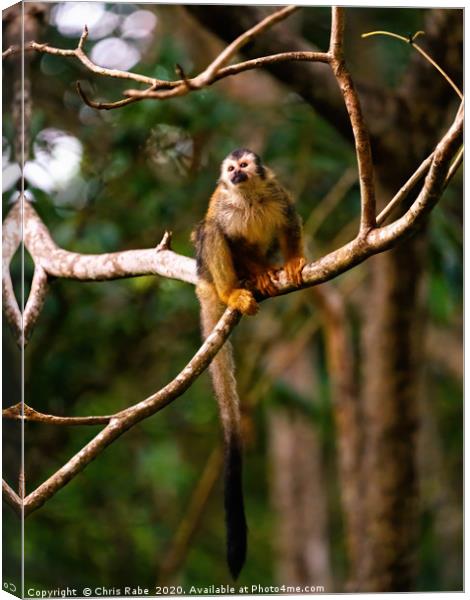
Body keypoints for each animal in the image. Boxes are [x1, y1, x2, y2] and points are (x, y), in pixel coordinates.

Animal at [191, 149, 304, 576]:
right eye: (230, 170)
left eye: (244, 167)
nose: (236, 174)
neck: (250, 198)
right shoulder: (226, 209)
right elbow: (223, 236)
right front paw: (255, 275)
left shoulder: (278, 194)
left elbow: (290, 223)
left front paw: (293, 262)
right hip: (207, 267)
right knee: (208, 234)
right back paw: (234, 291)